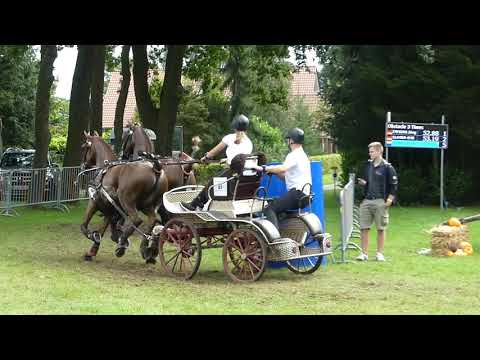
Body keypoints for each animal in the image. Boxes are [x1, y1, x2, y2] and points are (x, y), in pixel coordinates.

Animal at [79, 131, 168, 260]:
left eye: (84, 147)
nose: (82, 166)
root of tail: (155, 167)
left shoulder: (94, 202)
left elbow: (84, 226)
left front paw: (93, 236)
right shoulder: (110, 209)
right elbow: (103, 229)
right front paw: (93, 250)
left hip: (126, 200)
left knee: (136, 220)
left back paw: (122, 245)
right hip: (148, 205)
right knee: (152, 220)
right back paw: (146, 248)